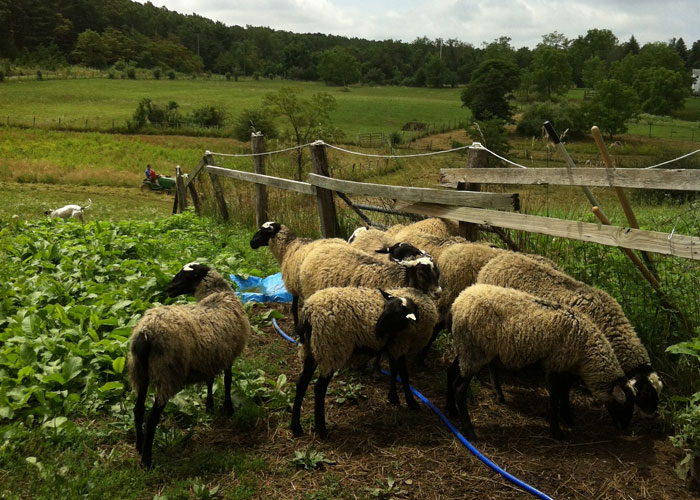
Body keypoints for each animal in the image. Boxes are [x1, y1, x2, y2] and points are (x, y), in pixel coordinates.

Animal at [128, 263, 251, 468]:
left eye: (185, 276)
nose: (167, 289)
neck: (217, 294)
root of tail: (146, 332)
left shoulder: (210, 356)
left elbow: (211, 381)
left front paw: (209, 406)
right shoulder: (228, 356)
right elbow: (227, 381)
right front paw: (228, 408)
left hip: (140, 372)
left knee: (138, 410)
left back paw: (139, 445)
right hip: (167, 373)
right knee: (152, 418)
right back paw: (147, 460)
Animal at [290, 286, 438, 438]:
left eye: (395, 316)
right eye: (385, 309)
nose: (377, 330)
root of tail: (308, 312)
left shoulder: (393, 346)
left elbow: (394, 371)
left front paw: (393, 398)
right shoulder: (399, 345)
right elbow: (403, 374)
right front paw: (411, 402)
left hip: (311, 349)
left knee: (301, 384)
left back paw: (296, 427)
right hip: (331, 349)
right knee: (319, 388)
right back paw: (321, 429)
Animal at [447, 284, 635, 440]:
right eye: (624, 406)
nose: (625, 428)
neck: (586, 351)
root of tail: (457, 303)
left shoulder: (563, 366)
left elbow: (564, 393)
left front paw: (567, 418)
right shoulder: (554, 364)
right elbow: (555, 396)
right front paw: (557, 431)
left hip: (466, 349)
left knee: (451, 372)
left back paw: (452, 412)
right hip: (474, 352)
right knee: (459, 388)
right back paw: (469, 432)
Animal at [476, 251, 662, 415]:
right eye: (645, 393)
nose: (652, 412)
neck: (609, 326)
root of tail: (492, 263)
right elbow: (564, 388)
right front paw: (565, 413)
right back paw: (498, 393)